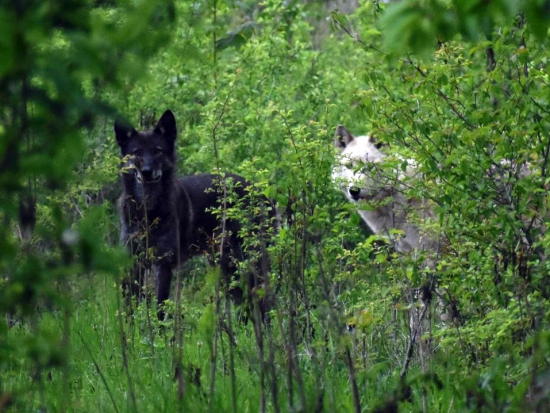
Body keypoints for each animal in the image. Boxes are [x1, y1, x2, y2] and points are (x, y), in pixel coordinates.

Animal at [115, 110, 274, 318]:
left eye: (158, 150)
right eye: (136, 153)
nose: (147, 172)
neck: (147, 210)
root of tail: (262, 194)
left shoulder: (163, 265)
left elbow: (160, 308)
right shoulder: (133, 262)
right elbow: (130, 308)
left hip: (244, 265)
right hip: (226, 269)